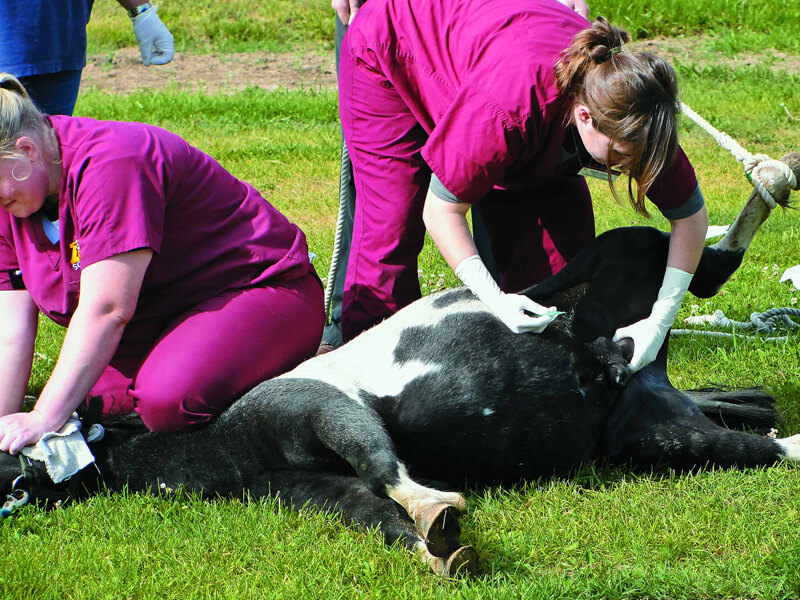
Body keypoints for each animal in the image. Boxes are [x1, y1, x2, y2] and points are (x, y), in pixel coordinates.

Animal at [3, 152, 796, 576]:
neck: (216, 443)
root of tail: (630, 369)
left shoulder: (325, 408)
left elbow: (385, 463)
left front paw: (434, 510)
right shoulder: (313, 492)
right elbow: (381, 513)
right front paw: (434, 547)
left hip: (621, 253)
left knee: (708, 262)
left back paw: (767, 185)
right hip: (658, 437)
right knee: (758, 438)